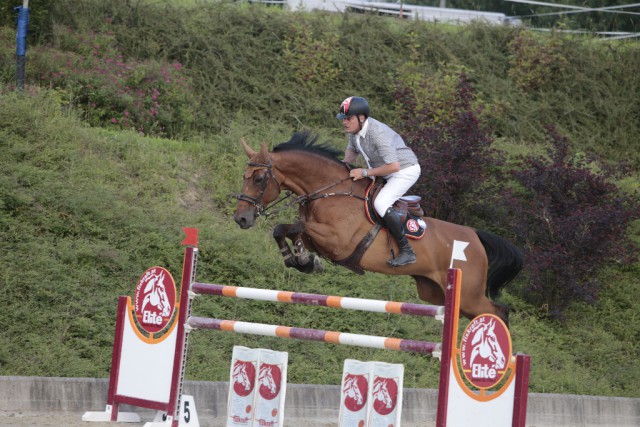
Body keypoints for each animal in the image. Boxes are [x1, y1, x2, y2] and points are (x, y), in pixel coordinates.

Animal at [232, 132, 524, 326]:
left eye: (259, 179)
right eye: (244, 177)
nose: (241, 219)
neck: (329, 191)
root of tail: (475, 236)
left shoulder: (338, 242)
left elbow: (295, 227)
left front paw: (304, 259)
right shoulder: (321, 238)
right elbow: (284, 229)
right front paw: (301, 260)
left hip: (468, 296)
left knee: (499, 311)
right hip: (436, 292)